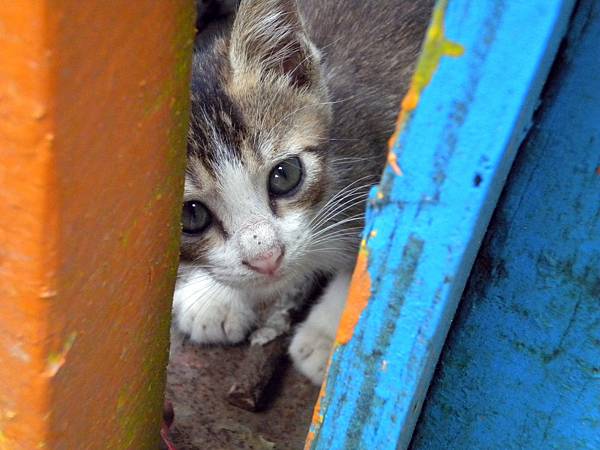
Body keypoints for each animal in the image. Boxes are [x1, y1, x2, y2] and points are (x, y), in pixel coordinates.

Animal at [173, 0, 432, 384]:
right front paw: (211, 298)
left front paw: (330, 335)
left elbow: (370, 261)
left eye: (285, 175)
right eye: (191, 214)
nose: (266, 258)